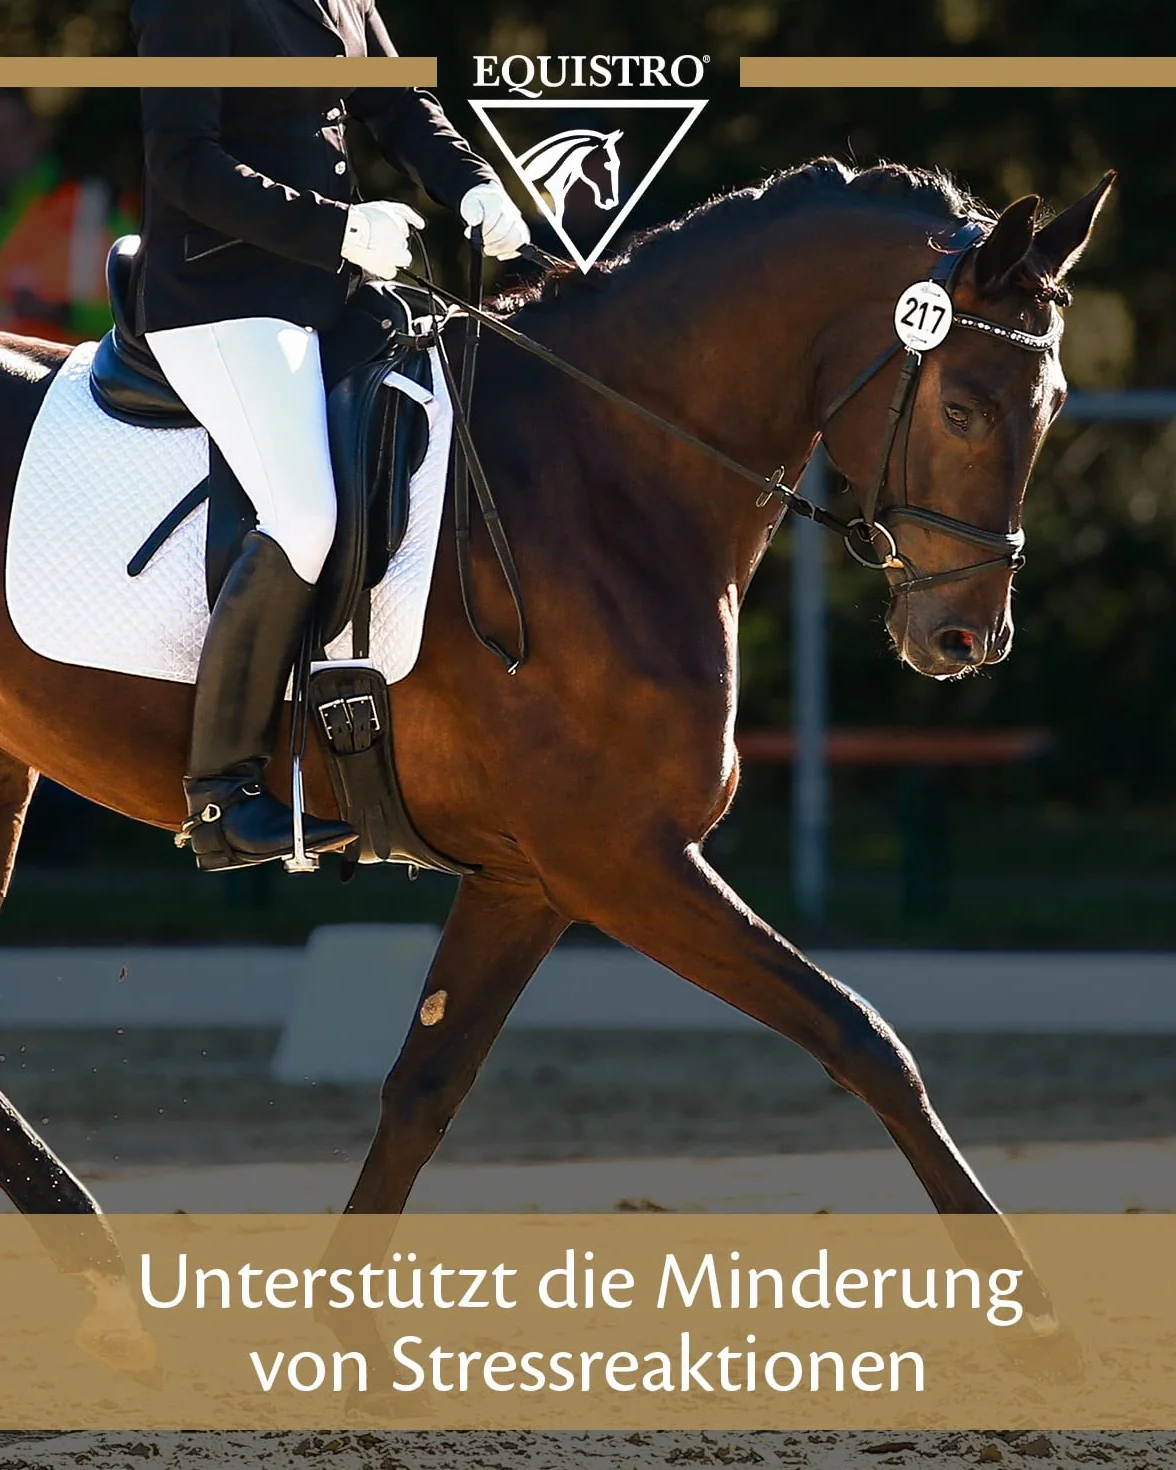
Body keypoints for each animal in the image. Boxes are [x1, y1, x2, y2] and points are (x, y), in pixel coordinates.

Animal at [0, 157, 1112, 1372]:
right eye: (961, 408)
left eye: (1053, 407)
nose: (965, 639)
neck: (605, 477)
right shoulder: (619, 859)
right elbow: (861, 1037)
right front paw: (1037, 1319)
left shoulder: (528, 880)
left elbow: (424, 1088)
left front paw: (351, 1340)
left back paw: (103, 1278)